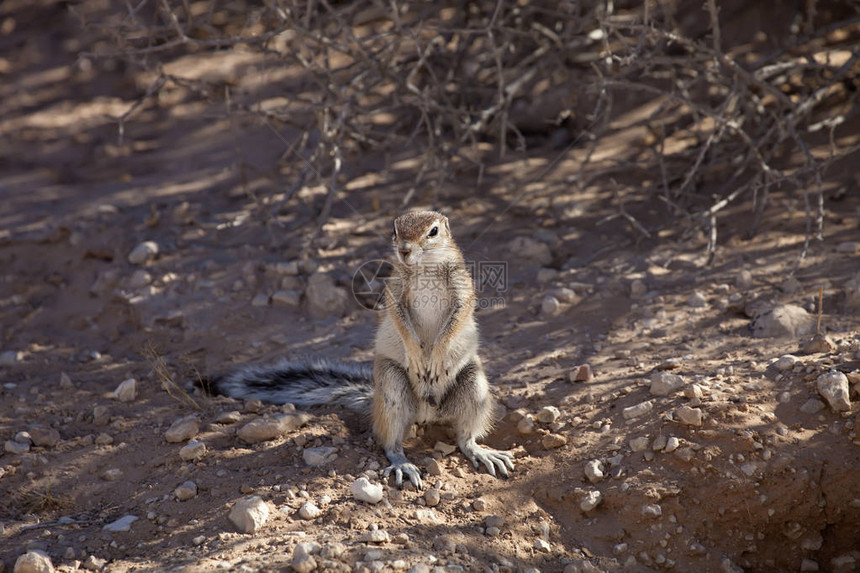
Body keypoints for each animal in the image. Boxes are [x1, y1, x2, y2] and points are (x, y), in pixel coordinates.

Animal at [208, 210, 512, 488]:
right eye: (395, 229)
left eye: (433, 231)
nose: (403, 250)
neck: (425, 267)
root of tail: (427, 414)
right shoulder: (394, 289)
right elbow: (400, 320)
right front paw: (417, 354)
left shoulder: (462, 288)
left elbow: (457, 318)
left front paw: (435, 356)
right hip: (391, 385)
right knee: (390, 442)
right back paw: (403, 465)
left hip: (474, 384)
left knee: (465, 437)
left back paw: (482, 452)